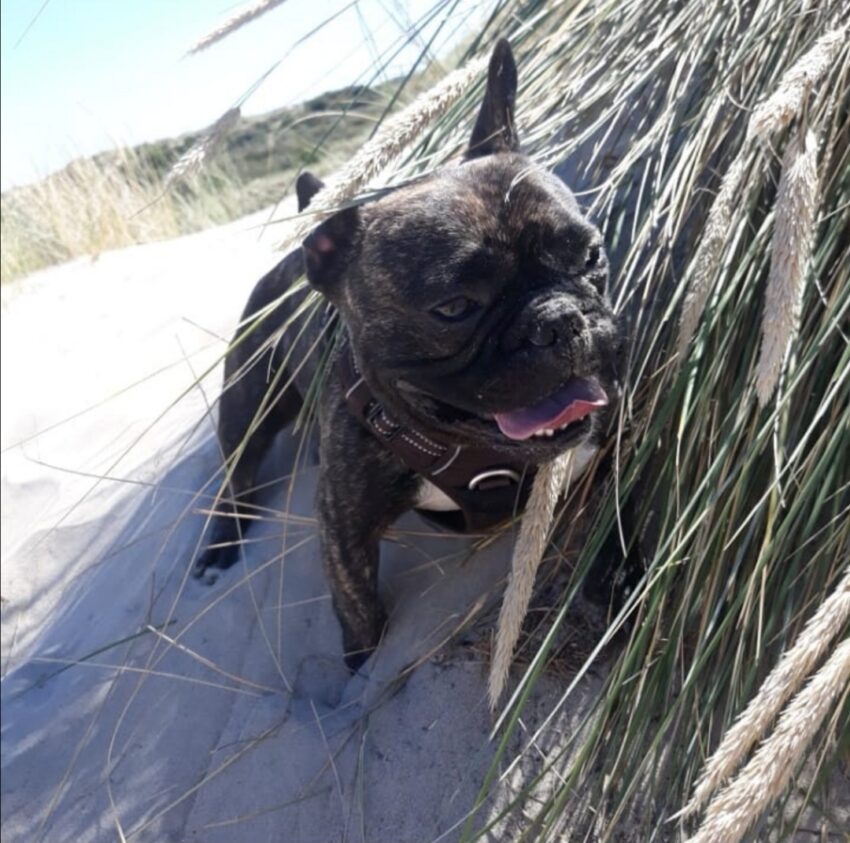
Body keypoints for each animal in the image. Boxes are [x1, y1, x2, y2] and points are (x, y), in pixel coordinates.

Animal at [194, 41, 616, 672]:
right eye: (454, 307)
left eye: (591, 255)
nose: (561, 320)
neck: (469, 449)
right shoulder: (343, 528)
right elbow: (358, 610)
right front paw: (360, 671)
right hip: (247, 398)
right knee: (237, 474)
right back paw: (220, 544)